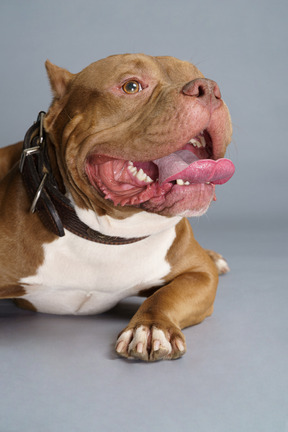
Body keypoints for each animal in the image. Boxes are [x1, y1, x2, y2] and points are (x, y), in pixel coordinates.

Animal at [0, 54, 234, 362]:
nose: (207, 88)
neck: (105, 235)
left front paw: (151, 327)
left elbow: (167, 295)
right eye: (131, 86)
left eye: (198, 74)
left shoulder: (200, 275)